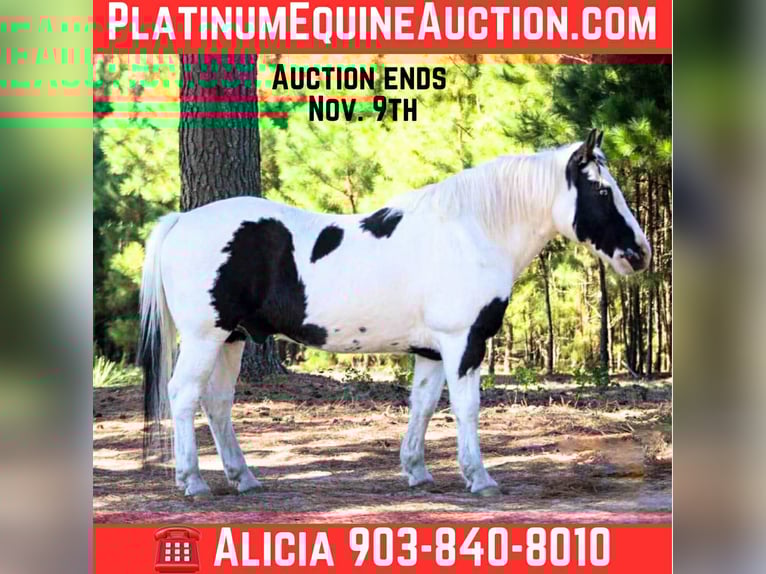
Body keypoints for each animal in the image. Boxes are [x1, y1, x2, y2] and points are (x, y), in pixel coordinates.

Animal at [139, 129, 650, 497]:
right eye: (601, 192)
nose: (640, 253)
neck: (473, 231)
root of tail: (181, 220)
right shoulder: (464, 342)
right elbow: (466, 408)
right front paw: (480, 477)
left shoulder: (431, 350)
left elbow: (422, 406)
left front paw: (417, 472)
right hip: (206, 338)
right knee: (183, 396)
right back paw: (193, 482)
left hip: (232, 339)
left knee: (217, 404)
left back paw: (243, 478)